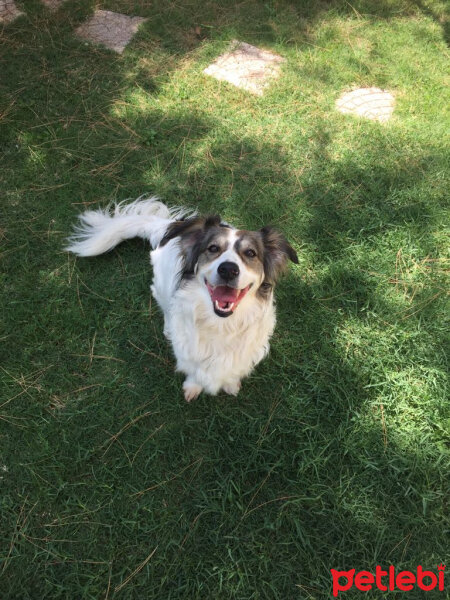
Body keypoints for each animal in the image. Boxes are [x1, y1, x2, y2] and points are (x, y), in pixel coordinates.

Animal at [66, 198, 298, 404]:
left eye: (250, 253)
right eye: (213, 248)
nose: (228, 269)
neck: (221, 324)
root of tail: (168, 226)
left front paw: (231, 384)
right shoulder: (188, 351)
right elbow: (194, 371)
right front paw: (193, 387)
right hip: (160, 286)